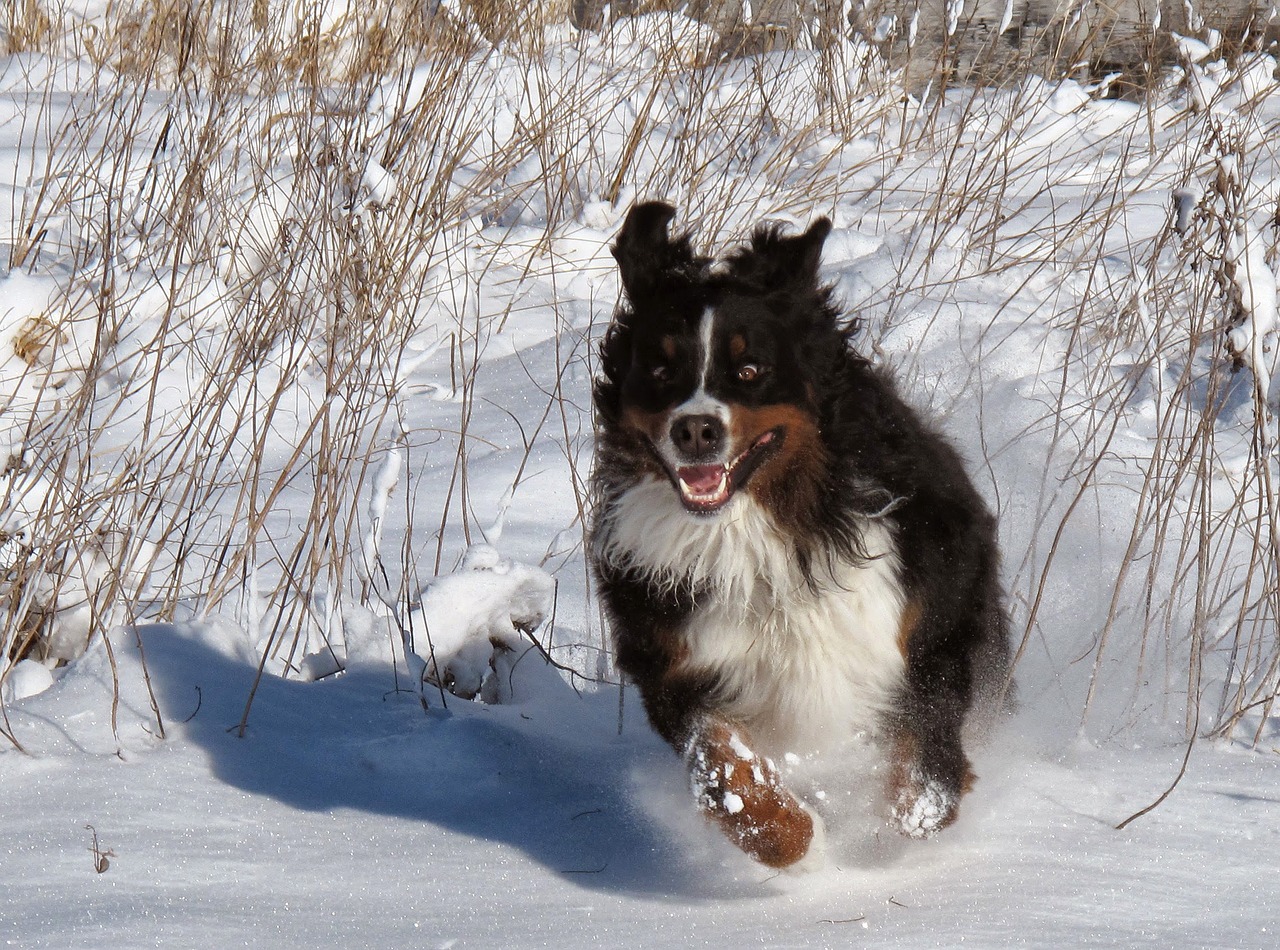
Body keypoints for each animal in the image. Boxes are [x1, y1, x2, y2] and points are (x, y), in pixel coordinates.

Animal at [588, 202, 1008, 870]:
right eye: (659, 370)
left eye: (750, 369)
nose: (696, 430)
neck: (759, 529)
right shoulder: (674, 659)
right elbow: (723, 766)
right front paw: (790, 835)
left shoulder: (932, 615)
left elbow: (927, 734)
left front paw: (913, 813)